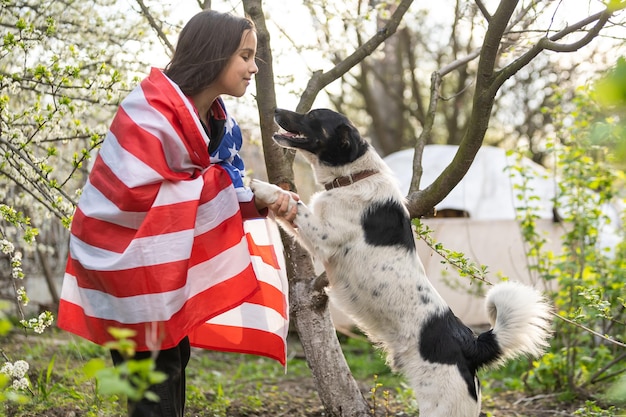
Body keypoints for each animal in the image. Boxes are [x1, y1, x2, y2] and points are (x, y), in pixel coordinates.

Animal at [250, 108, 552, 416]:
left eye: (313, 116)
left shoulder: (322, 236)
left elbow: (293, 203)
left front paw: (262, 188)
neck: (354, 177)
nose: (275, 111)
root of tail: (471, 345)